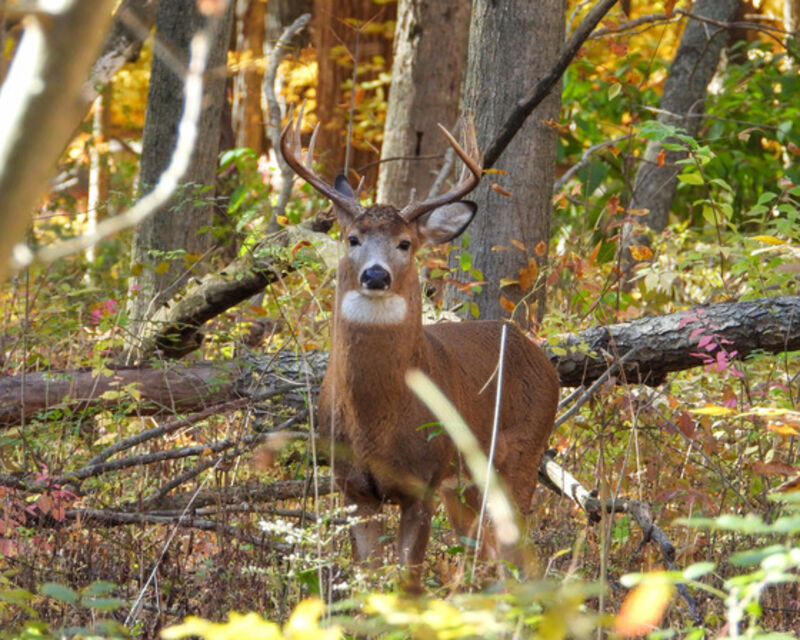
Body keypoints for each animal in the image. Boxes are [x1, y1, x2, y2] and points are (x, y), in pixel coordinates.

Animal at [281, 113, 560, 593]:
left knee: (520, 558)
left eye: (405, 243)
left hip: (520, 455)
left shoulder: (423, 481)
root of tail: (540, 354)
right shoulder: (354, 489)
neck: (377, 421)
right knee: (487, 557)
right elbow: (367, 582)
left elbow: (408, 586)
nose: (376, 275)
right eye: (353, 238)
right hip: (464, 486)